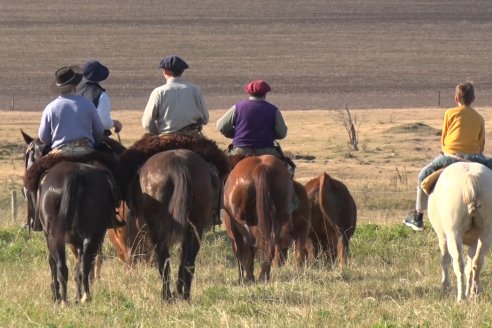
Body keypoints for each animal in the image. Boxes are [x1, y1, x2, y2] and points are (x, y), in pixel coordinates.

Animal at [20, 131, 121, 304]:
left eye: (27, 155)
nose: (24, 191)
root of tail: (75, 174)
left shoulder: (49, 236)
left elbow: (52, 262)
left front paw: (55, 294)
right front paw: (79, 292)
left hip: (57, 235)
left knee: (63, 264)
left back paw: (64, 300)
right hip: (90, 234)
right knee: (84, 262)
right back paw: (84, 295)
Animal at [224, 155, 296, 284]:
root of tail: (261, 167)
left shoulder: (233, 232)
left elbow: (239, 252)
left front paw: (241, 278)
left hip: (243, 222)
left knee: (249, 246)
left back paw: (250, 277)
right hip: (277, 221)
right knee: (270, 245)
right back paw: (264, 276)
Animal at [428, 160, 492, 302]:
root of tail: (470, 178)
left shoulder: (443, 238)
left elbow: (445, 260)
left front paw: (446, 287)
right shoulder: (474, 241)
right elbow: (470, 267)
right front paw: (470, 291)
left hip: (454, 234)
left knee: (458, 263)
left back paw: (461, 297)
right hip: (486, 233)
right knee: (477, 262)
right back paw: (474, 293)